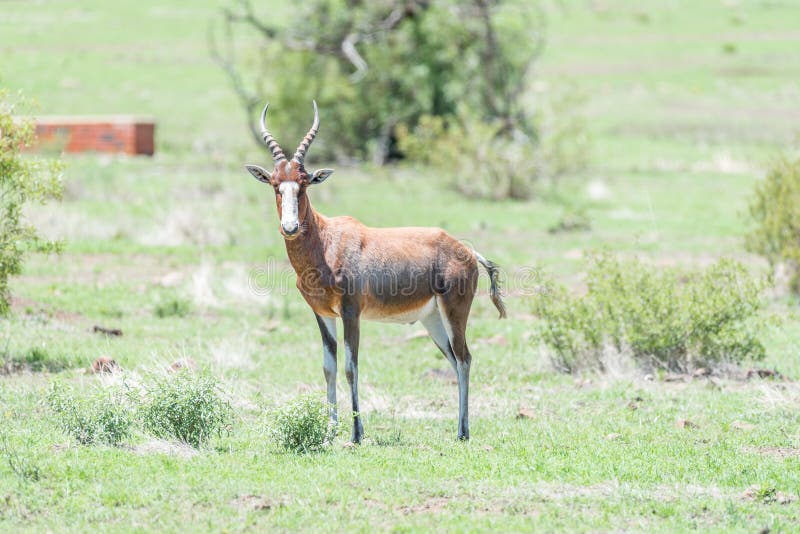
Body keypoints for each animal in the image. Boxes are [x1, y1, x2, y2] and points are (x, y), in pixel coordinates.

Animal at [245, 101, 506, 444]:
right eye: (276, 184)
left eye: (304, 183)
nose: (290, 227)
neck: (327, 240)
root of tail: (466, 251)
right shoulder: (323, 314)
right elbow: (329, 368)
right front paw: (330, 433)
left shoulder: (351, 312)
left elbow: (350, 367)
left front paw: (356, 434)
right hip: (432, 319)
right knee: (453, 358)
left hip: (454, 312)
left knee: (464, 359)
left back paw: (463, 432)